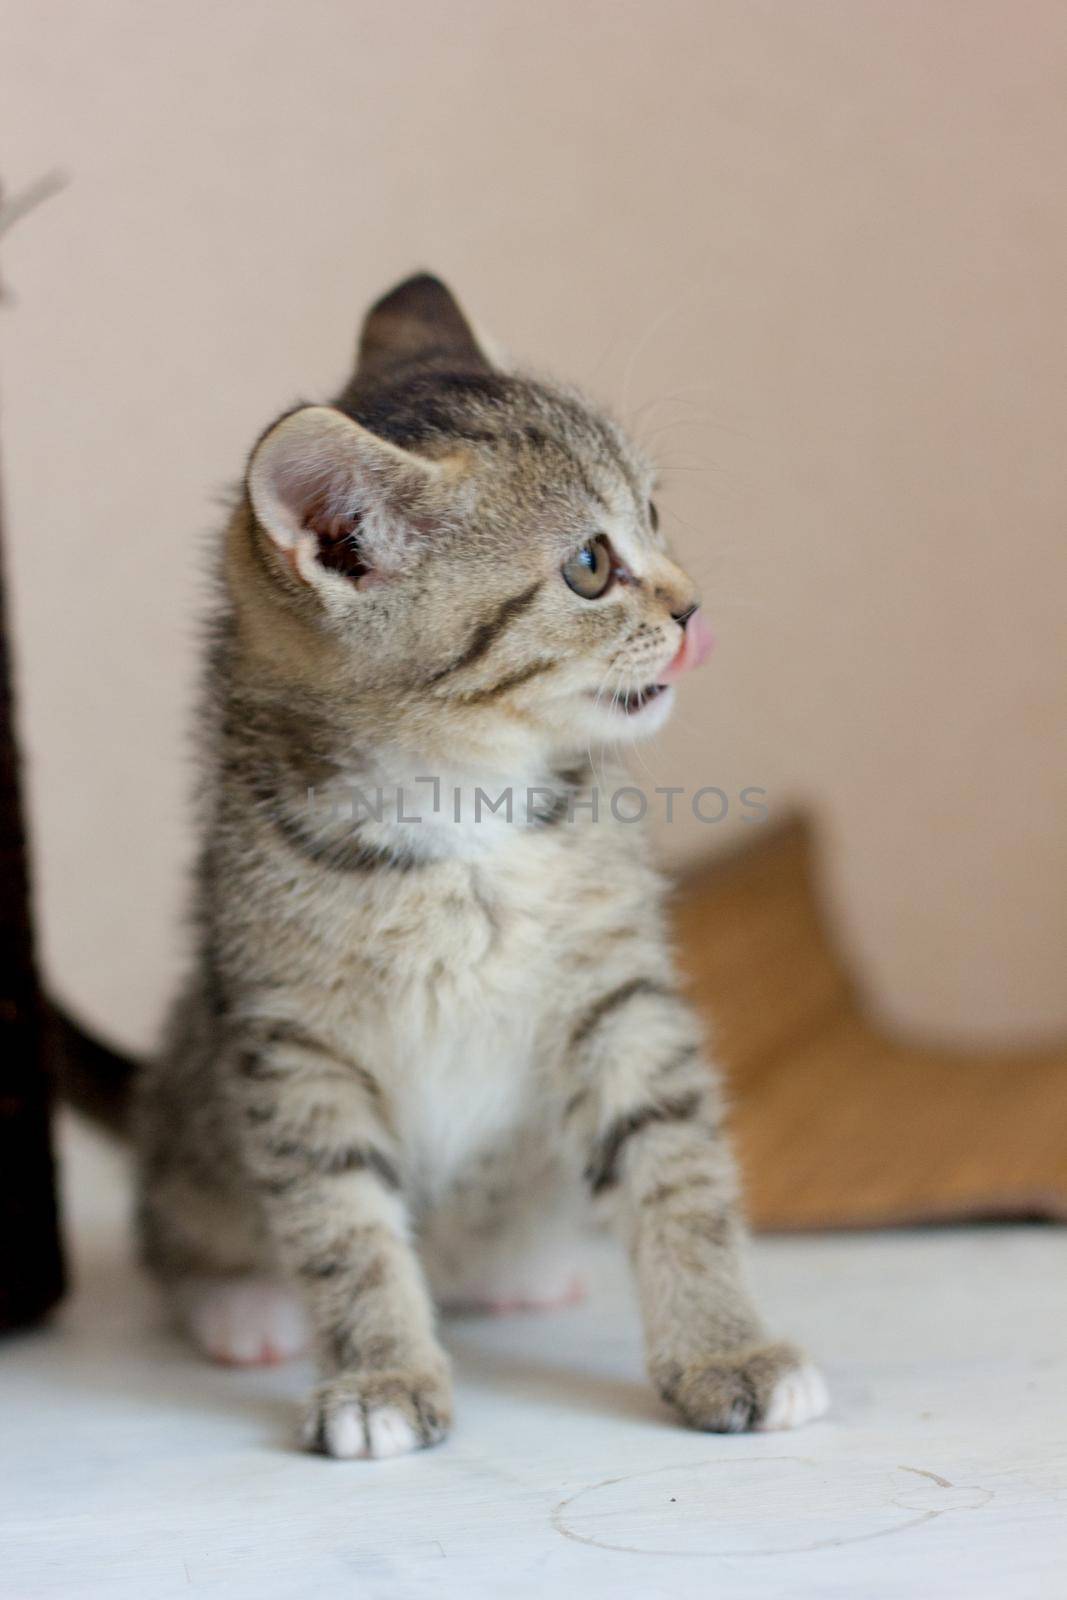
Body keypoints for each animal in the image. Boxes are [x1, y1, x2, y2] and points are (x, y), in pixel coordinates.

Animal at [133, 272, 831, 1452]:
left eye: (656, 516)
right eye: (590, 566)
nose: (693, 608)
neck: (464, 810)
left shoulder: (619, 994)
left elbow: (675, 1174)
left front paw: (723, 1349)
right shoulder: (291, 1038)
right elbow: (341, 1219)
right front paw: (378, 1376)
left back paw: (512, 1274)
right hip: (197, 1074)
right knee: (174, 1229)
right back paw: (242, 1306)